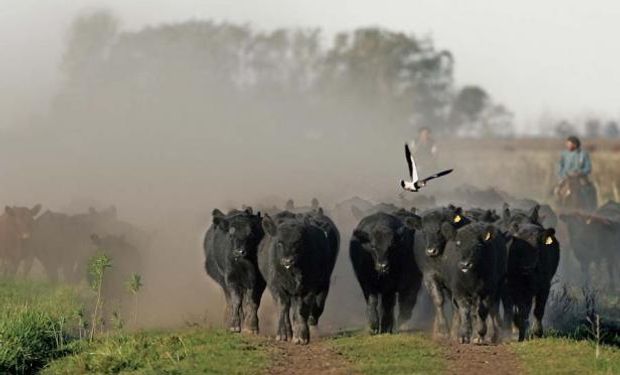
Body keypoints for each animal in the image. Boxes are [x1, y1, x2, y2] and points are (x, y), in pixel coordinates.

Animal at [258, 210, 340, 346]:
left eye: (298, 242)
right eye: (279, 242)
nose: (288, 260)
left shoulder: (308, 288)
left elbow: (302, 309)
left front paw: (301, 336)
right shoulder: (276, 286)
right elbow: (283, 306)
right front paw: (283, 334)